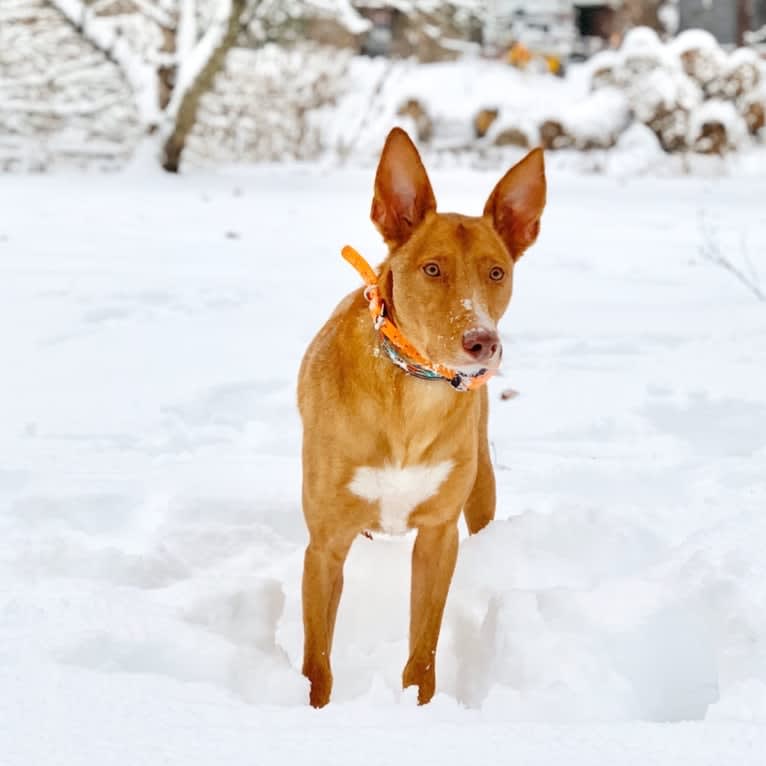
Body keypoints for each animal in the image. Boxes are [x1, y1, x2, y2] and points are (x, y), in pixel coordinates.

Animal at [298, 129, 544, 712]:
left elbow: (423, 650)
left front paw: (417, 711)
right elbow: (317, 662)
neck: (413, 395)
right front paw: (313, 713)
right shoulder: (324, 547)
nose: (483, 343)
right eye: (432, 269)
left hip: (482, 488)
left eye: (496, 272)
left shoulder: (437, 539)